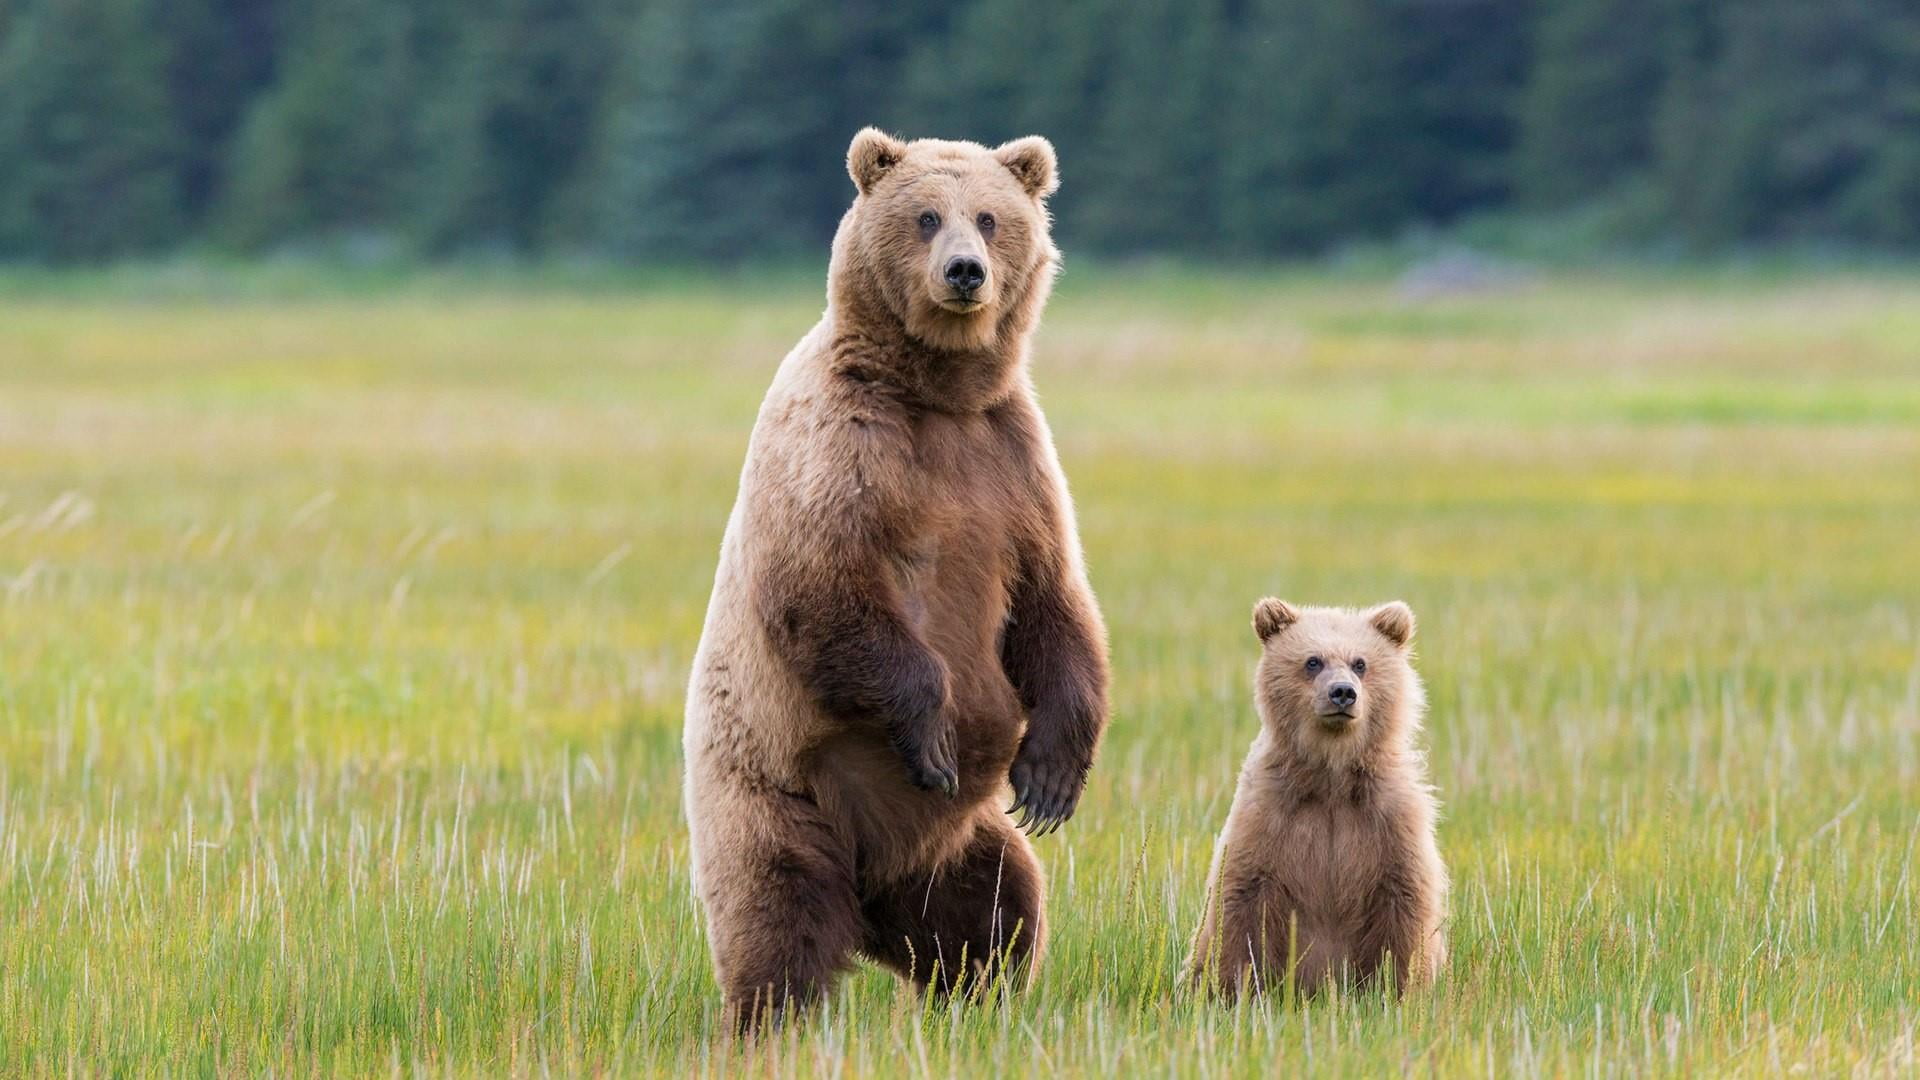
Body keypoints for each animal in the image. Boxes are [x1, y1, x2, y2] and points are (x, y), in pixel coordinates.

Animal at [682, 128, 1110, 1034]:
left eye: (989, 217)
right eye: (925, 217)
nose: (965, 273)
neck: (936, 395)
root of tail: (875, 894)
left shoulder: (1011, 458)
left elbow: (1053, 602)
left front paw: (1052, 781)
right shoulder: (843, 447)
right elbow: (825, 592)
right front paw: (933, 734)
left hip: (958, 848)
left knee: (997, 907)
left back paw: (976, 998)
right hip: (778, 794)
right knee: (777, 912)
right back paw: (770, 1019)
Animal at [1186, 598, 1447, 999]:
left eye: (1360, 663)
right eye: (1313, 661)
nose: (1342, 692)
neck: (1331, 777)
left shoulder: (1390, 820)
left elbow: (1404, 906)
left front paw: (1395, 989)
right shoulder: (1270, 815)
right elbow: (1243, 901)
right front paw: (1237, 989)